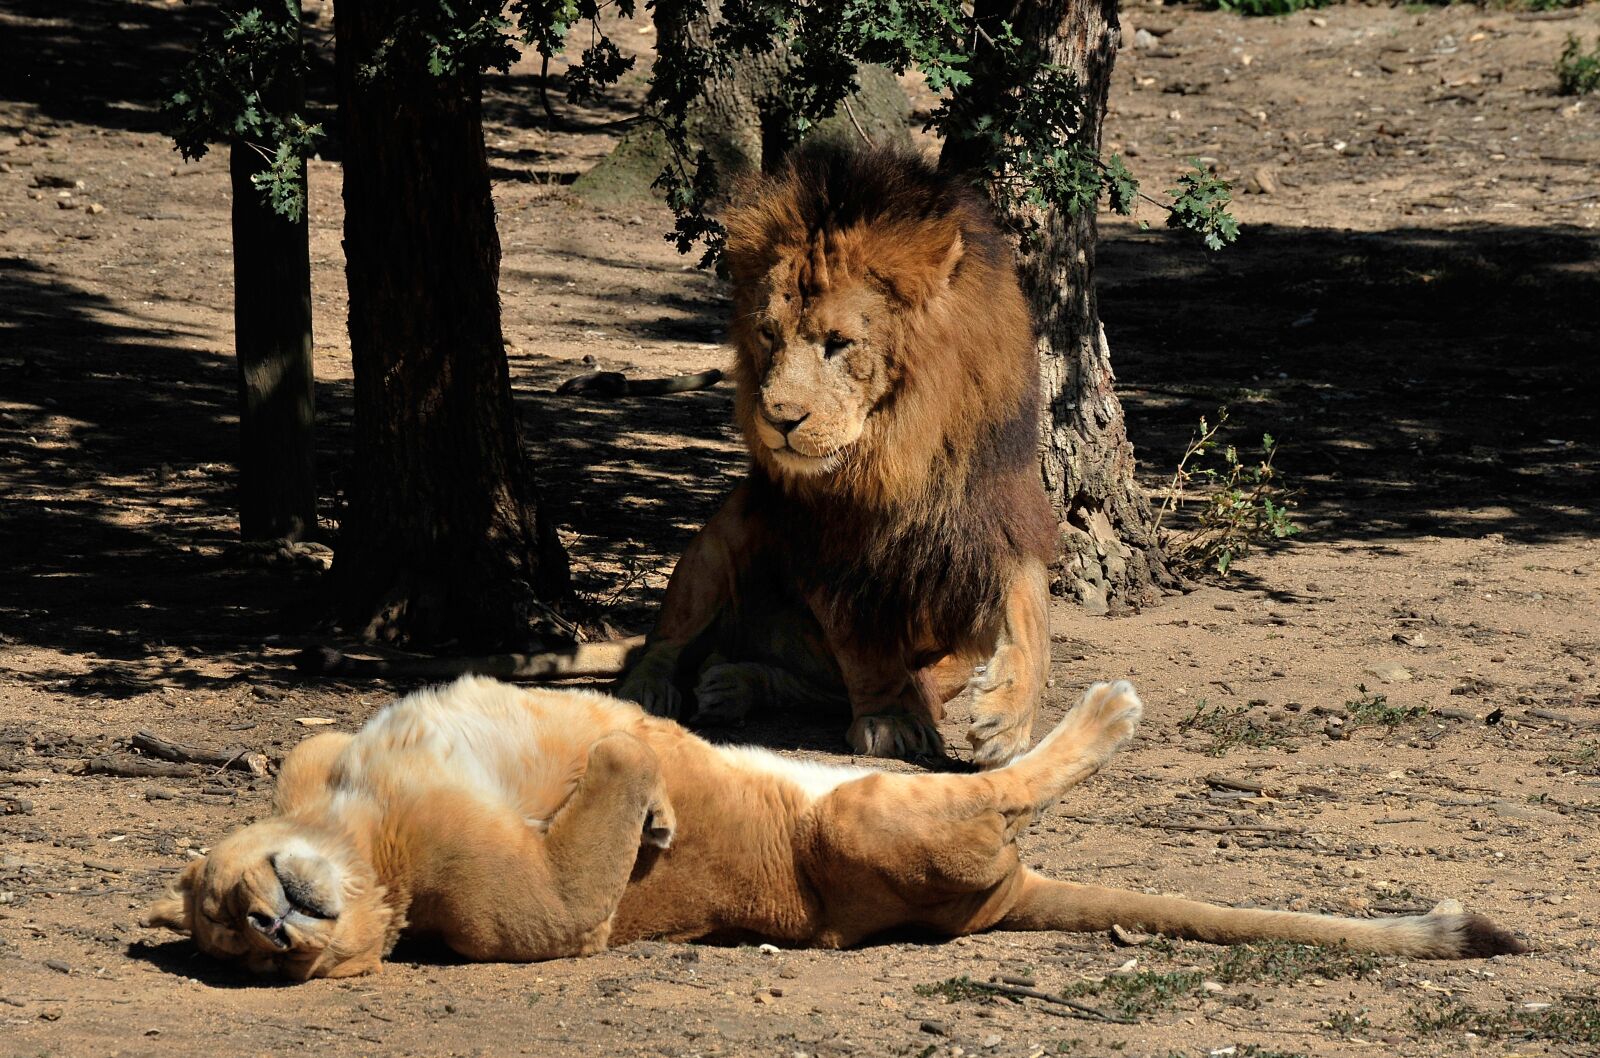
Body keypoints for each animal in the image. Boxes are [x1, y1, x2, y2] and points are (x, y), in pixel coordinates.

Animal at [614, 144, 1062, 761]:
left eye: (838, 343)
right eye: (769, 336)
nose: (780, 418)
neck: (899, 452)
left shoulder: (992, 515)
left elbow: (1031, 613)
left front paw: (1008, 720)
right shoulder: (831, 550)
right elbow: (864, 647)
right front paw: (892, 718)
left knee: (818, 685)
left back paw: (734, 684)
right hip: (722, 536)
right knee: (664, 641)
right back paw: (652, 690)